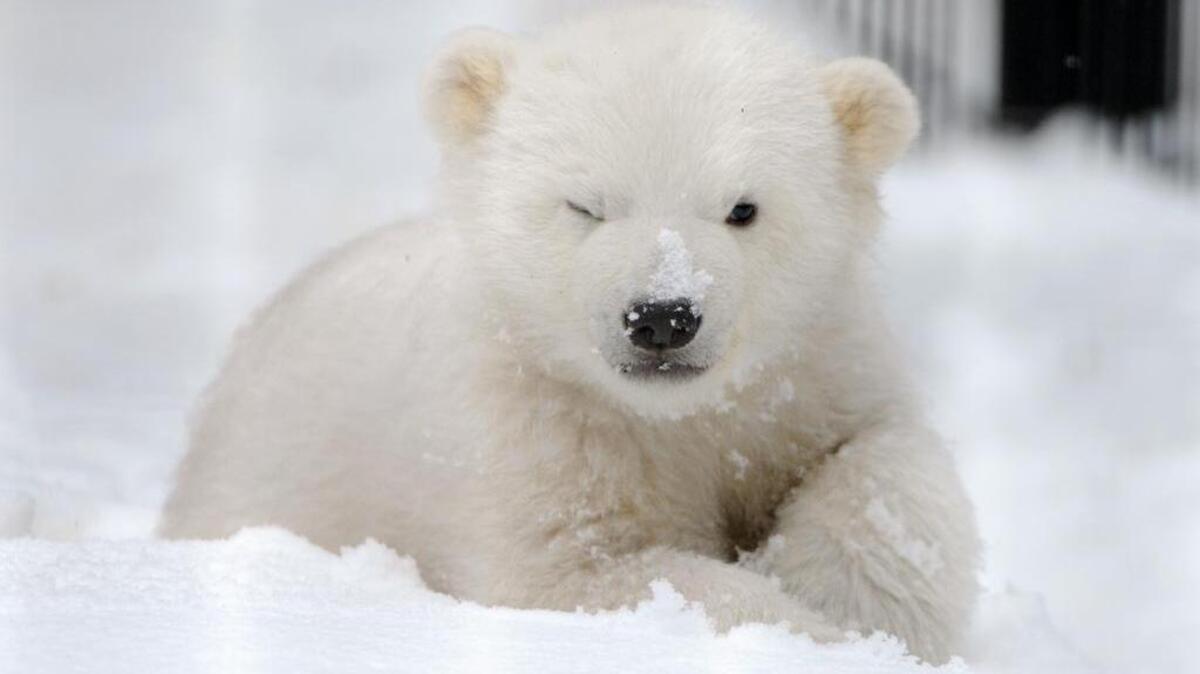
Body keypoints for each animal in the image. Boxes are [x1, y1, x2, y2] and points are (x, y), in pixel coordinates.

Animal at [159, 3, 980, 663]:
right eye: (585, 205)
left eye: (743, 208)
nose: (662, 318)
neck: (671, 418)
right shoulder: (533, 422)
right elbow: (570, 575)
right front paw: (805, 632)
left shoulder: (814, 367)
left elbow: (882, 461)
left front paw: (840, 602)